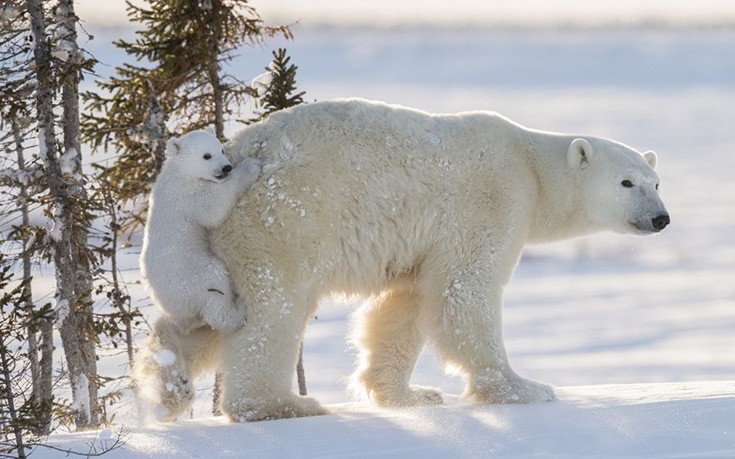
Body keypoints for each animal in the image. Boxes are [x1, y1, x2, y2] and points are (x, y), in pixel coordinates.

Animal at [158, 99, 668, 422]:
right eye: (626, 182)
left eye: (655, 181)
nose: (661, 218)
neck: (530, 166)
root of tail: (233, 154)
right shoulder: (491, 200)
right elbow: (465, 291)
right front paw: (525, 388)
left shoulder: (420, 244)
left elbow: (404, 304)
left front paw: (410, 394)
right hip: (280, 221)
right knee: (271, 312)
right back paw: (280, 405)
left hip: (217, 244)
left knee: (209, 312)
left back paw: (168, 375)